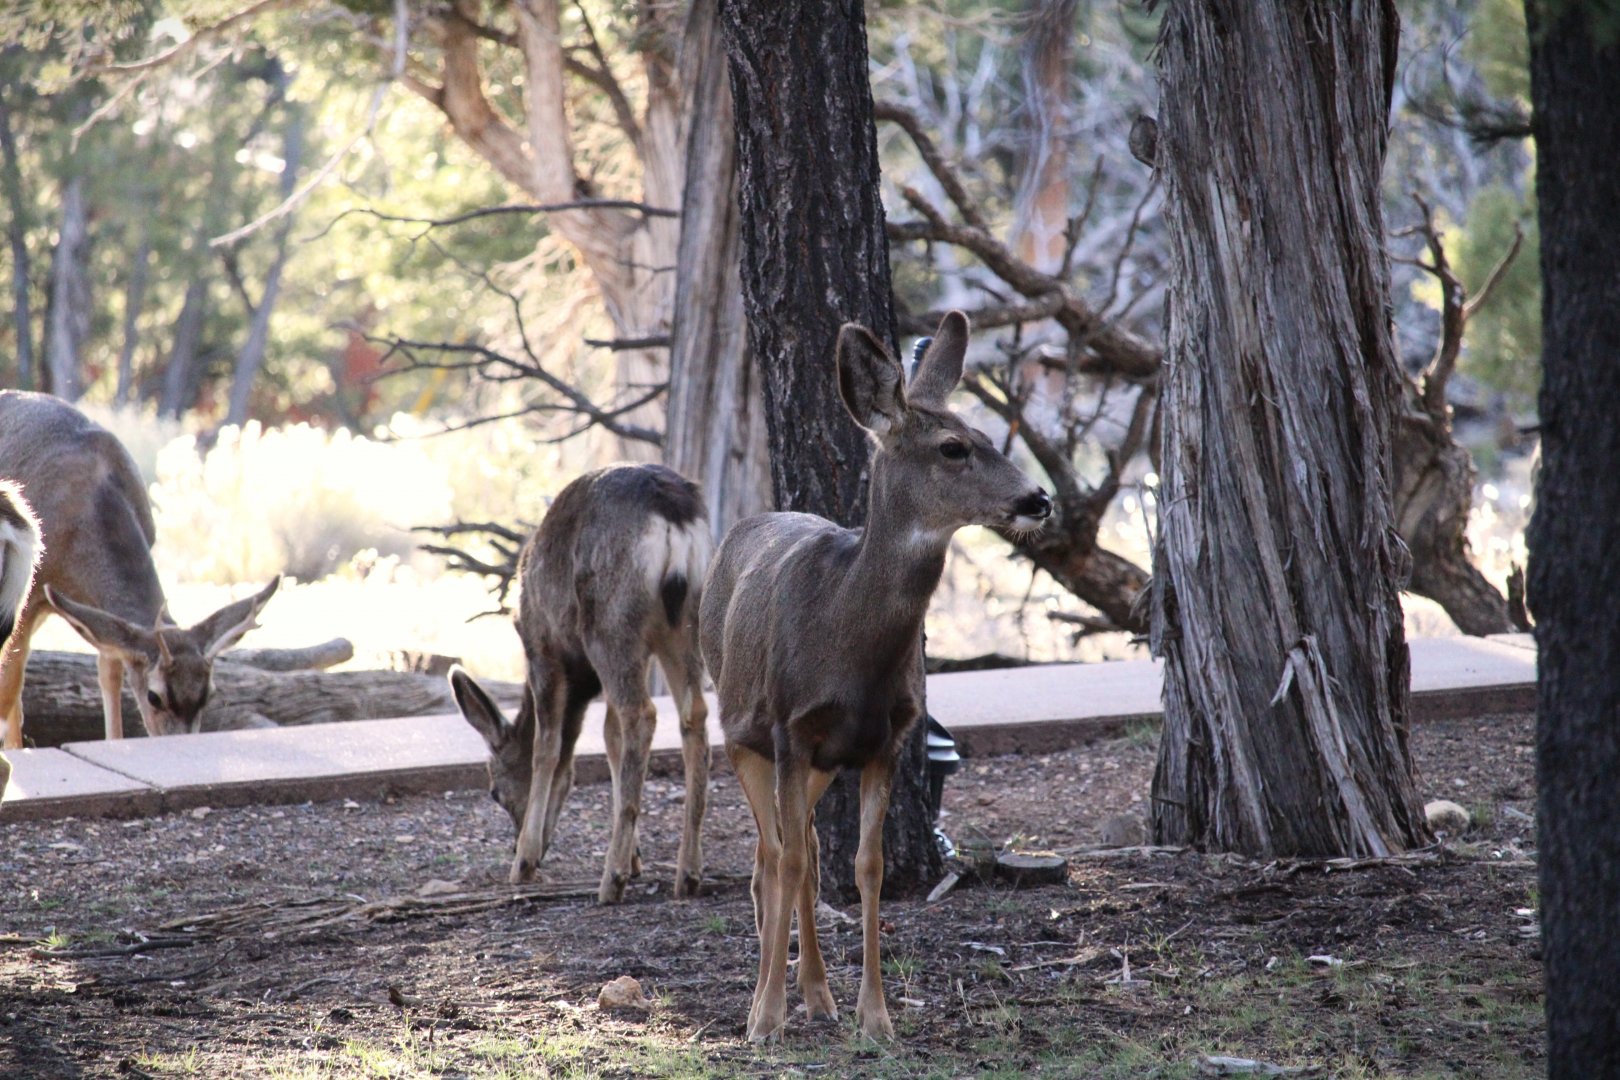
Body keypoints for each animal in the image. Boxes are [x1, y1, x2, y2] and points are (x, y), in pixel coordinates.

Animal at [0, 391, 280, 749]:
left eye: (209, 695)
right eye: (154, 696)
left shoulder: (101, 616)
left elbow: (110, 672)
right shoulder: (30, 595)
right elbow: (12, 680)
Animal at [448, 462, 713, 904]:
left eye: (494, 791)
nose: (515, 843)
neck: (582, 684)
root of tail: (672, 513)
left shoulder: (542, 647)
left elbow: (548, 747)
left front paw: (524, 863)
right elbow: (608, 737)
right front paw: (637, 857)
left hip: (609, 622)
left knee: (641, 714)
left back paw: (612, 880)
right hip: (686, 620)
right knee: (694, 712)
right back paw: (687, 874)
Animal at [699, 311, 1053, 1042]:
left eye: (988, 436)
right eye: (954, 447)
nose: (1039, 500)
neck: (850, 641)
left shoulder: (886, 739)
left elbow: (868, 865)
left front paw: (875, 1015)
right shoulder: (790, 728)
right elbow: (791, 860)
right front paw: (766, 1017)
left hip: (821, 762)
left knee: (802, 849)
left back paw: (818, 995)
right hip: (740, 728)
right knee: (772, 855)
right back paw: (767, 998)